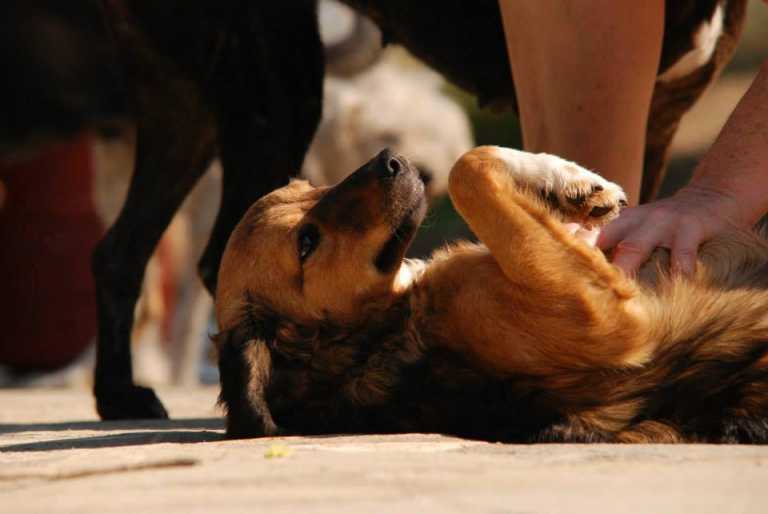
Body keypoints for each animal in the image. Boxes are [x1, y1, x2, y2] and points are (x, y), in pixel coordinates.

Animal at [212, 147, 768, 440]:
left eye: (308, 186)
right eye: (306, 243)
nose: (391, 160)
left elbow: (475, 167)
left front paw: (563, 181)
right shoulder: (607, 320)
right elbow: (470, 167)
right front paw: (559, 179)